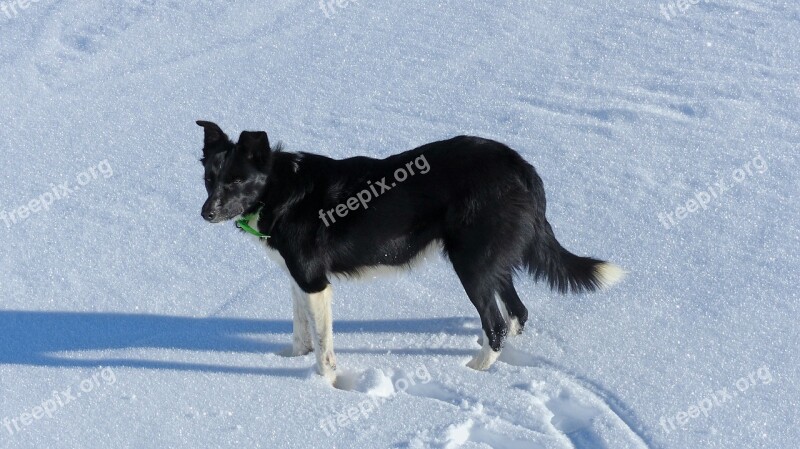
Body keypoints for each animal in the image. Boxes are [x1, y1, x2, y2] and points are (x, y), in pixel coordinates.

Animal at [195, 121, 624, 380]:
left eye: (237, 180)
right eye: (209, 178)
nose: (205, 213)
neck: (280, 189)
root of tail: (520, 166)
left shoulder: (314, 283)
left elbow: (323, 348)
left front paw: (323, 384)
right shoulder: (298, 280)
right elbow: (303, 333)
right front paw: (289, 359)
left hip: (471, 265)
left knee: (498, 323)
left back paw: (473, 373)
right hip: (491, 262)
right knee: (517, 313)